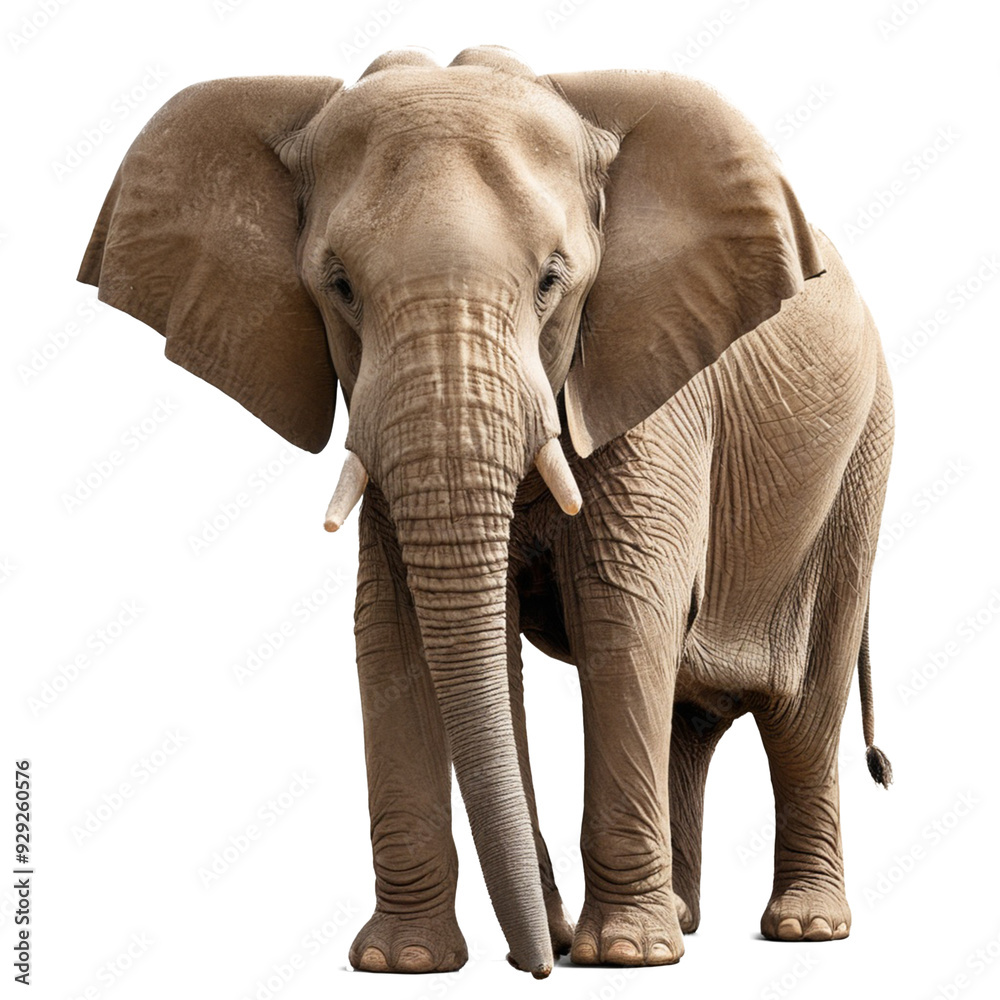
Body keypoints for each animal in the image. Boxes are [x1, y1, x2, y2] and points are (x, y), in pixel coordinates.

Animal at [78, 46, 893, 978]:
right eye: (339, 286)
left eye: (552, 281)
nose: (541, 962)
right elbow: (398, 632)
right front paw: (405, 963)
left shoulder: (650, 384)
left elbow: (622, 614)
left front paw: (622, 956)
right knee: (689, 711)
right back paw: (684, 922)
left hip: (860, 463)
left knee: (801, 710)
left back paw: (800, 928)